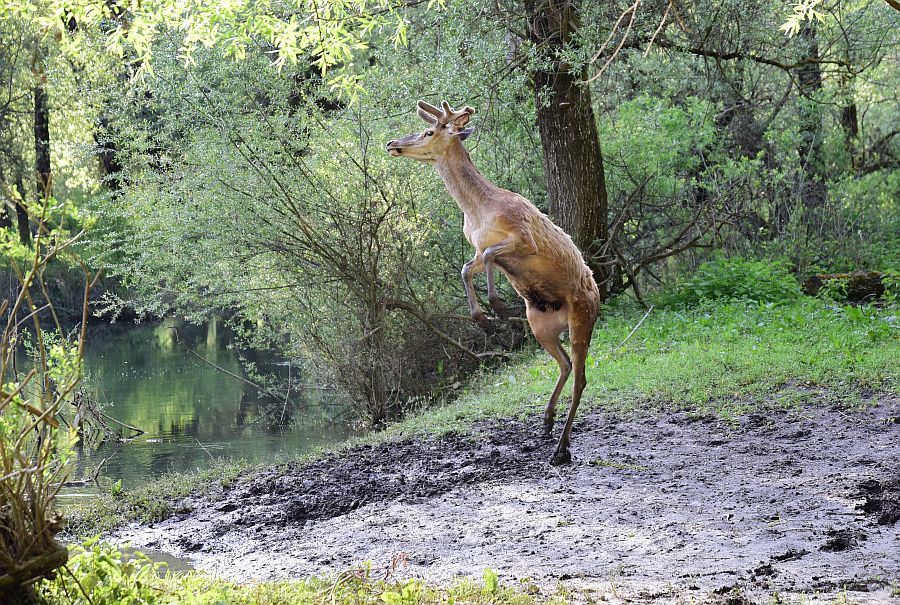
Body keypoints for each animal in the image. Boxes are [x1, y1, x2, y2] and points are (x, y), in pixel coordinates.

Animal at [384, 100, 596, 462]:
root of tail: (597, 294)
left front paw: (497, 307)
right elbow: (468, 267)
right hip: (540, 325)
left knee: (581, 376)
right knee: (566, 364)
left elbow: (488, 257)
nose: (392, 143)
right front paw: (483, 320)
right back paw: (546, 421)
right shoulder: (476, 243)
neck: (478, 212)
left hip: (582, 316)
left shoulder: (524, 237)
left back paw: (561, 448)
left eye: (428, 130)